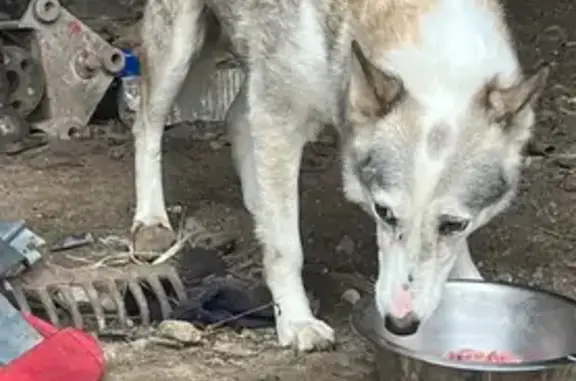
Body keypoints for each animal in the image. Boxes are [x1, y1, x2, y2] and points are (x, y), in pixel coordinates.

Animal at [130, 0, 548, 350]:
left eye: (453, 225)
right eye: (384, 213)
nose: (400, 324)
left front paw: (469, 278)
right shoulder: (280, 115)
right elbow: (286, 249)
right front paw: (296, 321)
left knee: (236, 119)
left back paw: (257, 202)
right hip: (179, 49)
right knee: (148, 123)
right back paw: (150, 219)